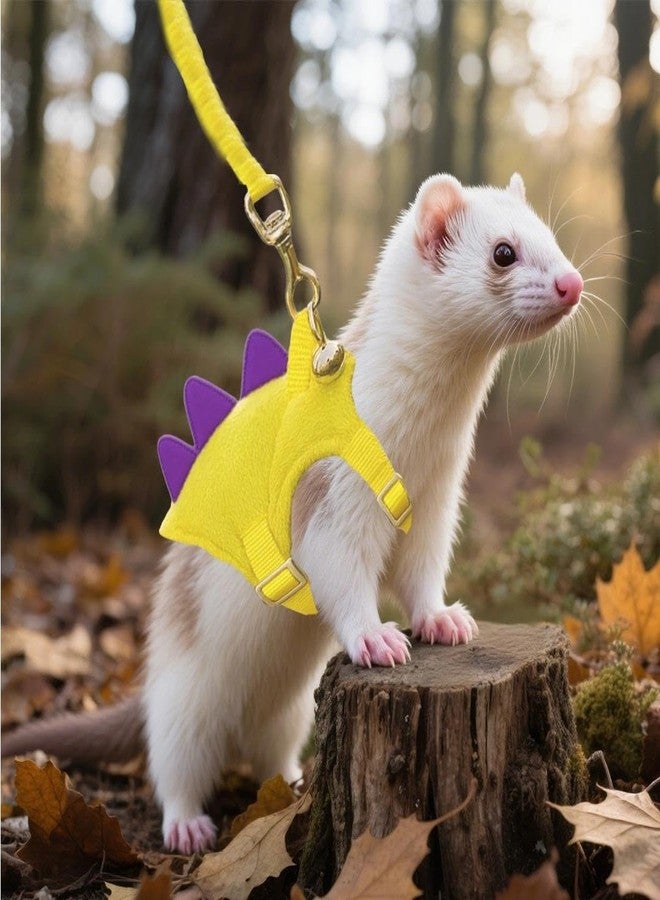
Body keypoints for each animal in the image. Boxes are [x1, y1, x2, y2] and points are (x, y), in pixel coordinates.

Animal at [3, 173, 583, 853]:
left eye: (552, 235)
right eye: (504, 251)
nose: (572, 282)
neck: (418, 448)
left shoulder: (438, 503)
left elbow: (420, 572)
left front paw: (442, 621)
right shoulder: (333, 499)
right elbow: (340, 572)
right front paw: (376, 638)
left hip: (292, 711)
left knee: (269, 752)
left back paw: (294, 781)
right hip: (183, 695)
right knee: (173, 763)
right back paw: (187, 826)